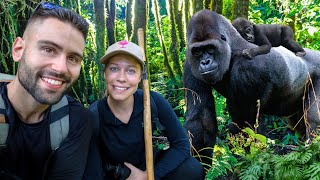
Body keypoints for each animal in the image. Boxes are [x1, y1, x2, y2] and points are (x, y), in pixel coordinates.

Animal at [182, 10, 320, 163]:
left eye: (210, 48)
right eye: (197, 51)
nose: (205, 62)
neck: (232, 49)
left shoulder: (248, 69)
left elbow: (246, 124)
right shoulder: (190, 65)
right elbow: (202, 119)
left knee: (313, 119)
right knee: (299, 123)